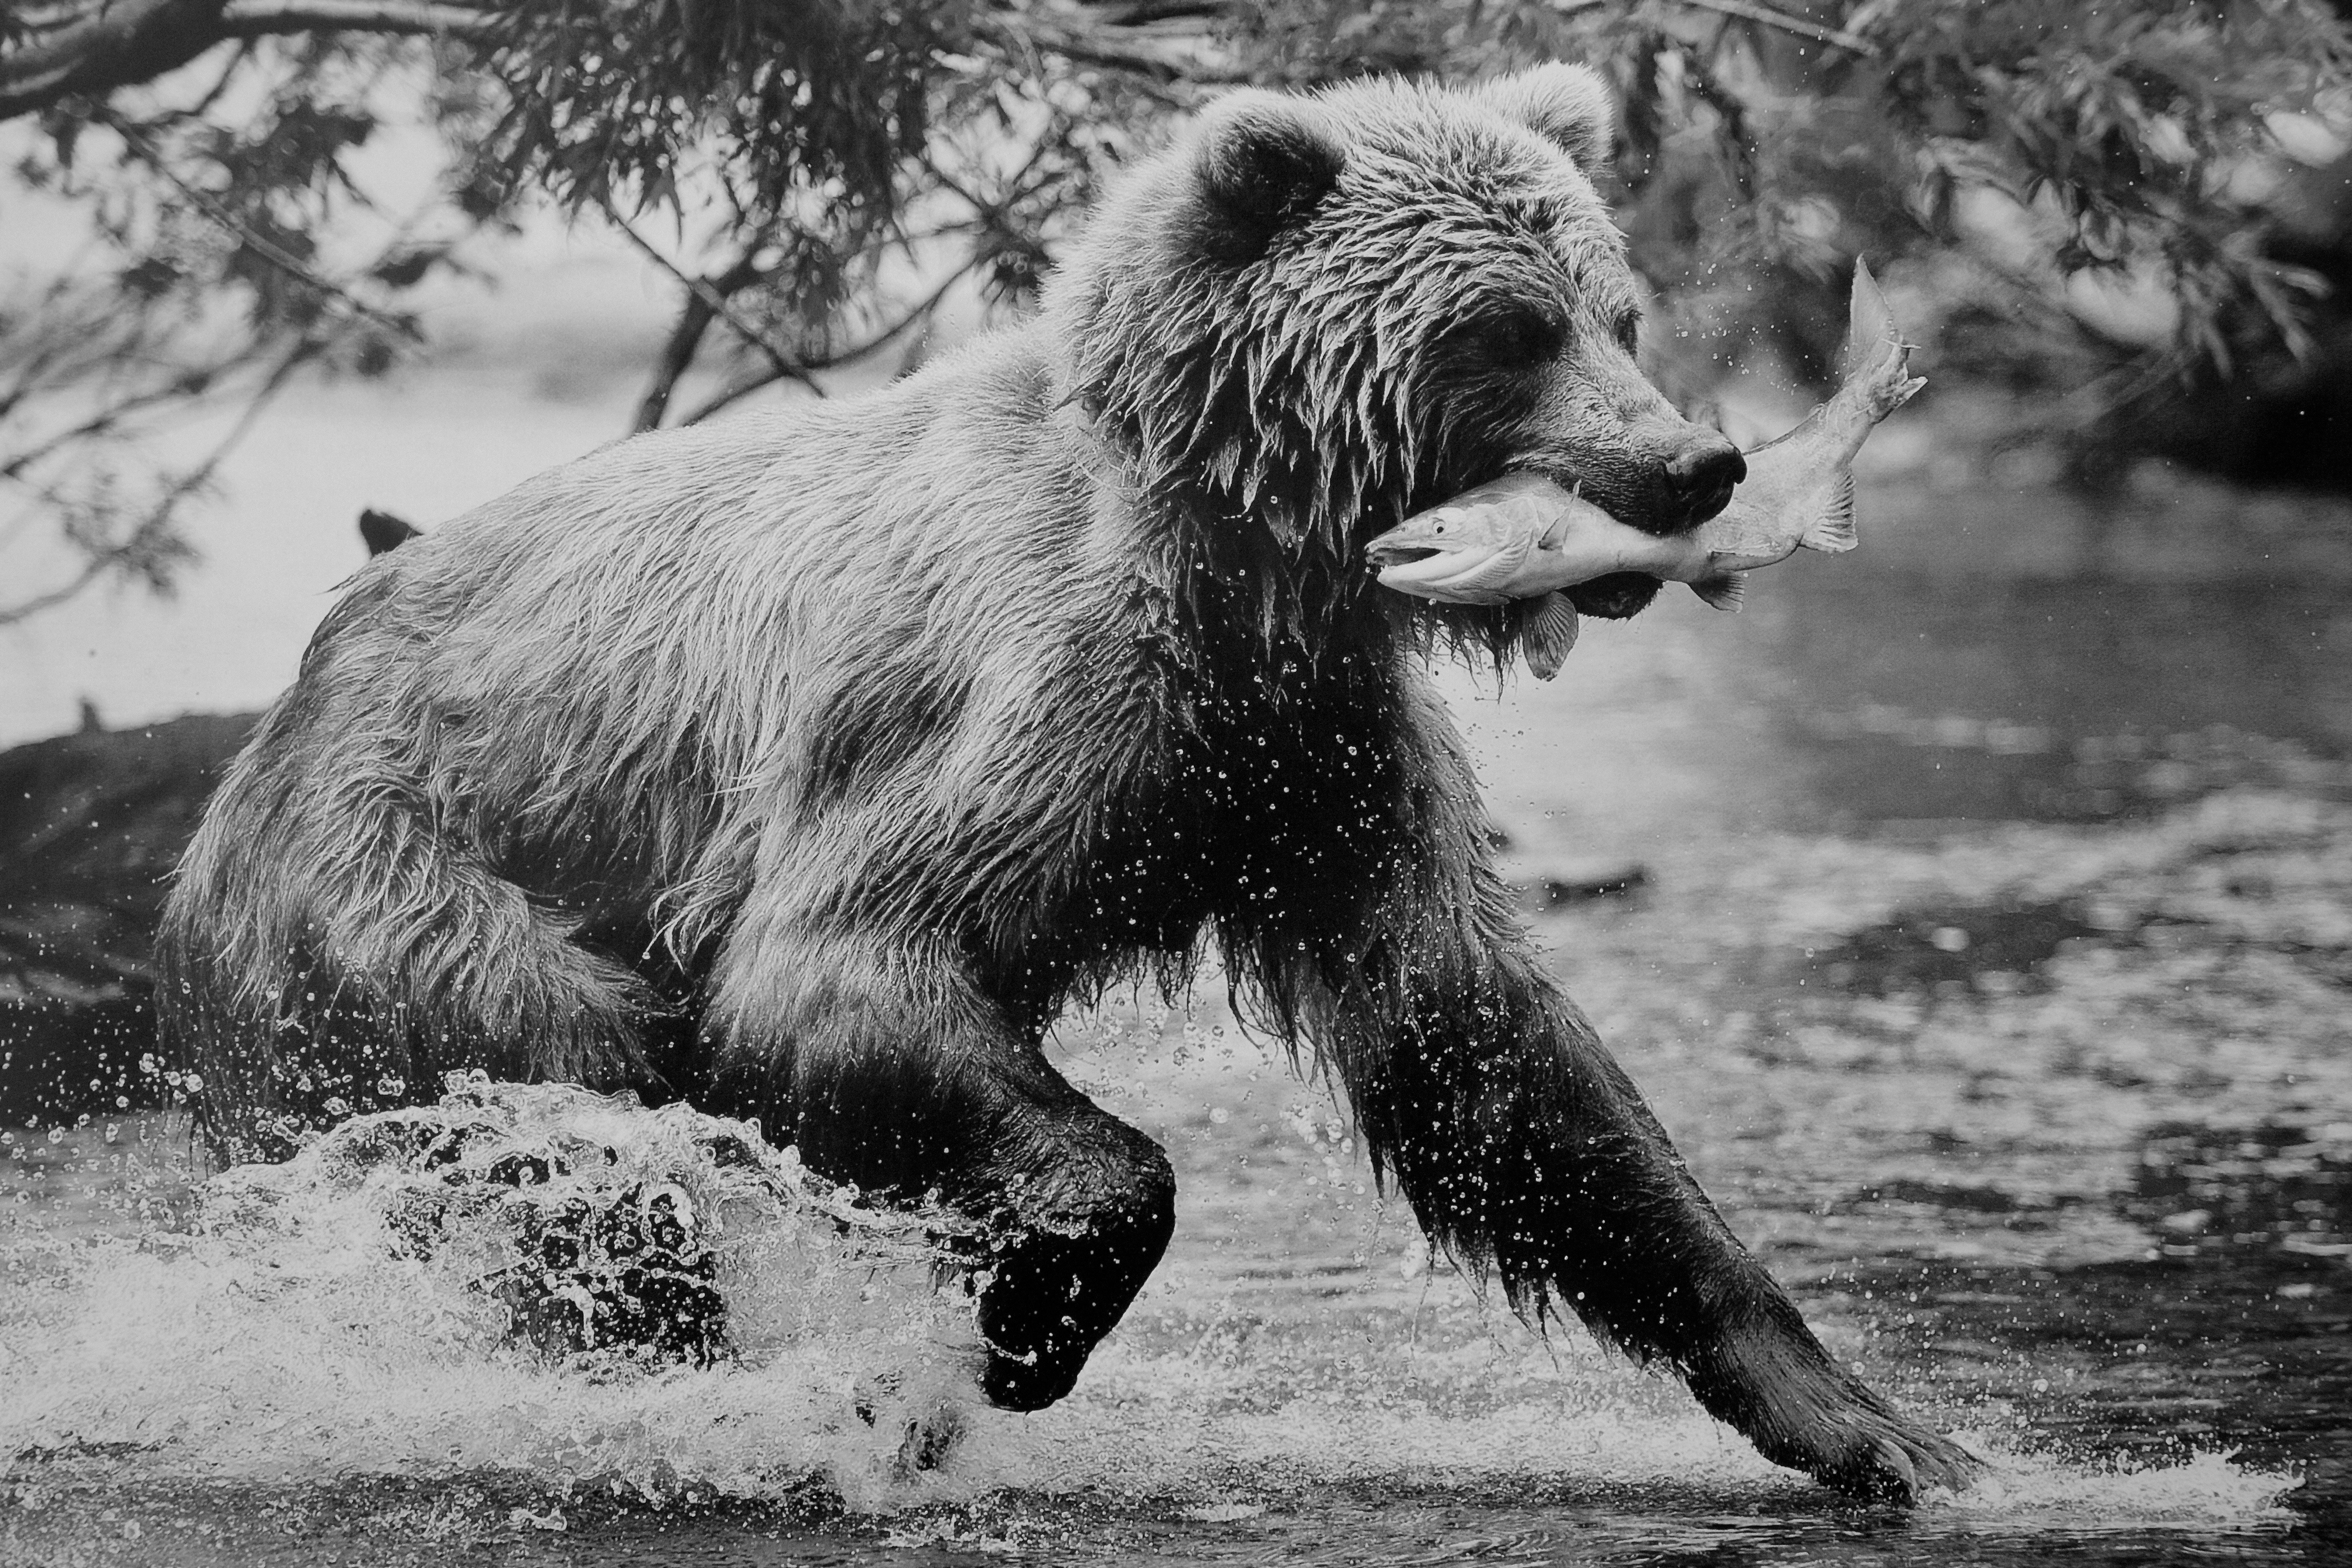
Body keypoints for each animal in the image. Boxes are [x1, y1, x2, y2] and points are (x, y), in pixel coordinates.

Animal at [156, 66, 1977, 1499]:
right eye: (1507, 329)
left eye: (1619, 308)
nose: (1695, 459)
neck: (1247, 568)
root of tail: (284, 700)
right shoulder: (1030, 704)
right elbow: (830, 971)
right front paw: (1018, 1332)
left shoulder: (1309, 767)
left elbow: (1484, 1055)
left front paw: (1872, 1421)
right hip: (417, 867)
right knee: (567, 1090)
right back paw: (662, 1361)